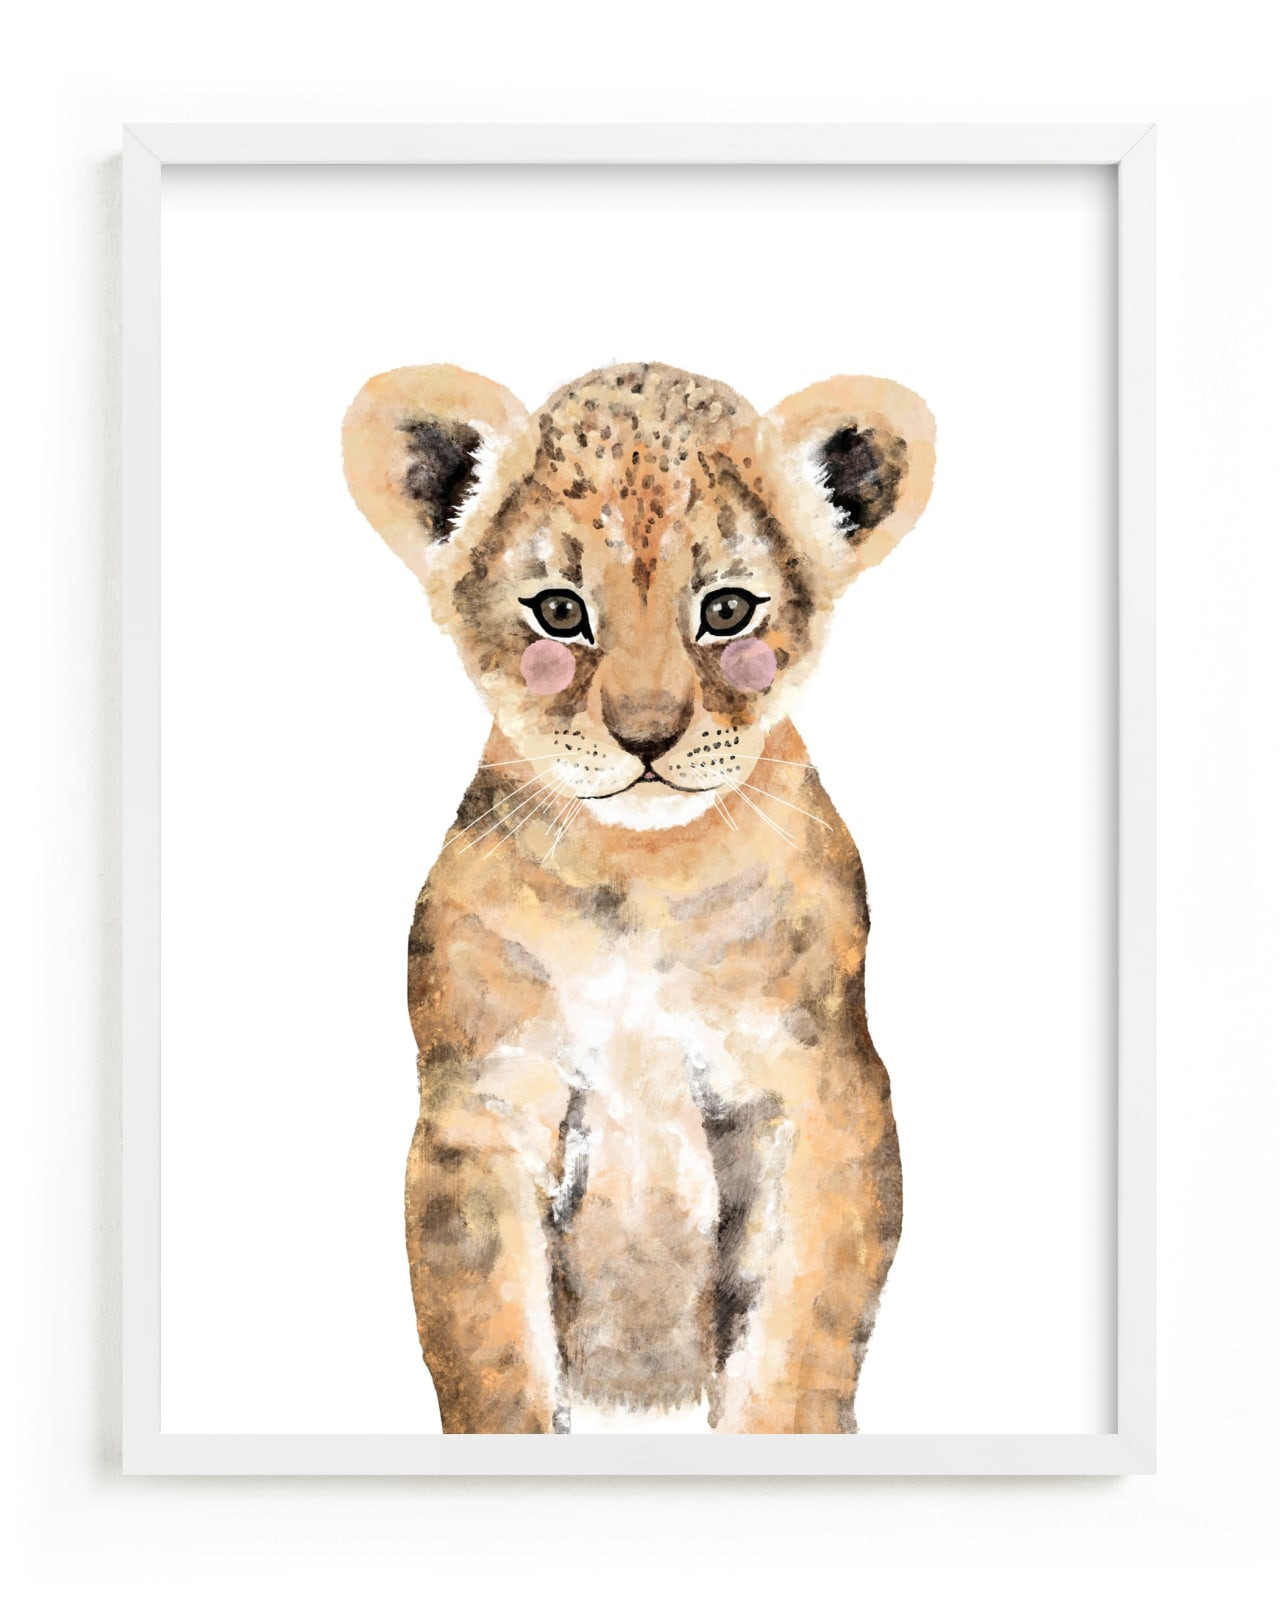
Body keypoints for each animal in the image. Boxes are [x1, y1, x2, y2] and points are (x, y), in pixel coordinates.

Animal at [341, 361, 935, 1433]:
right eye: (560, 613)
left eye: (728, 611)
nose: (648, 736)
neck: (641, 874)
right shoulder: (484, 1105)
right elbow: (489, 1344)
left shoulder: (822, 1087)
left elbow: (801, 1328)